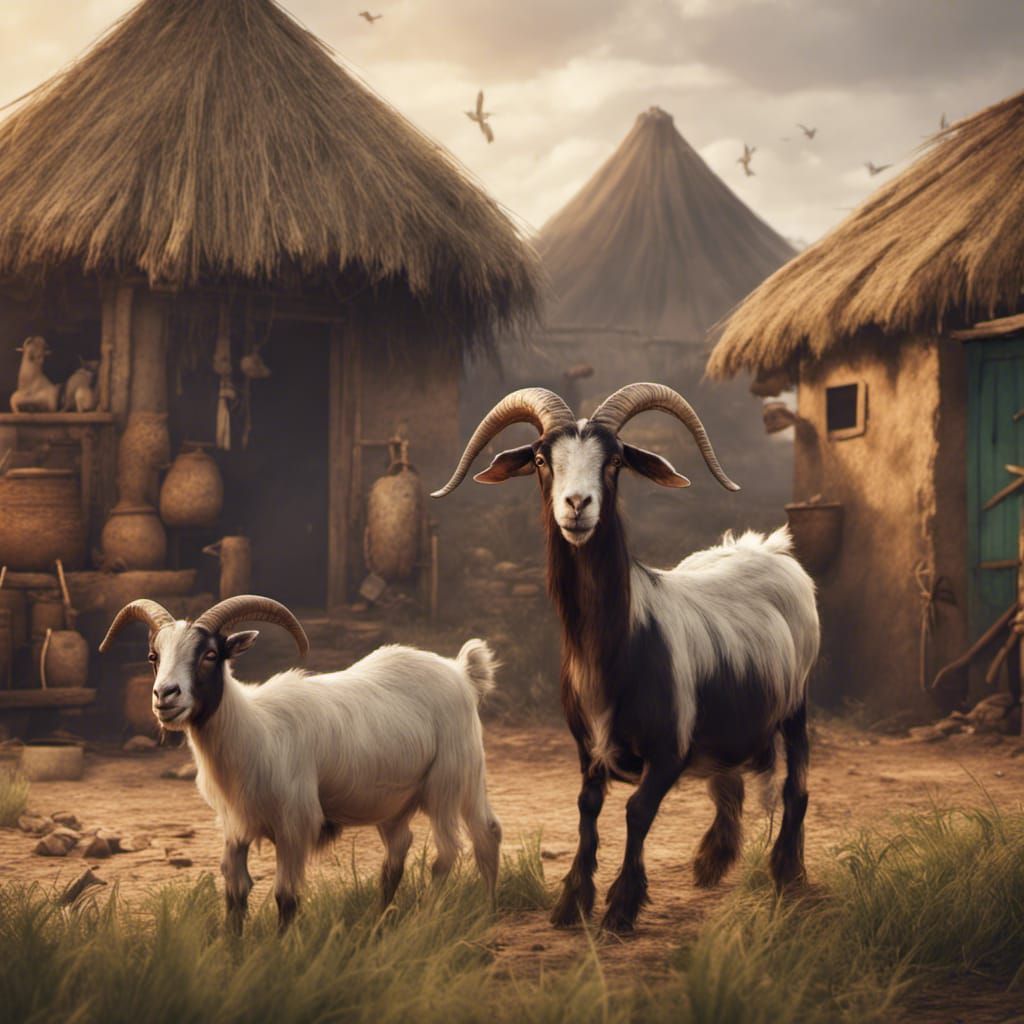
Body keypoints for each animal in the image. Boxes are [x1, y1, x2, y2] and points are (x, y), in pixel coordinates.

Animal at [100, 595, 502, 933]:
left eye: (211, 654)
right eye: (153, 656)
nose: (165, 696)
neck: (255, 732)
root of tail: (461, 672)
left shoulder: (295, 824)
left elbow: (286, 896)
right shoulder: (234, 826)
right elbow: (235, 893)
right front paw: (233, 954)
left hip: (451, 778)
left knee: (452, 849)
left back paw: (438, 918)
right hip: (396, 800)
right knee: (417, 847)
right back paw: (397, 920)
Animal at [433, 383, 819, 933]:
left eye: (614, 460)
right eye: (540, 458)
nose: (577, 505)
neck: (618, 647)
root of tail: (769, 548)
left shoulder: (669, 749)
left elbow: (636, 812)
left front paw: (620, 906)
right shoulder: (588, 747)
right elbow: (587, 809)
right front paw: (572, 902)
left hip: (797, 699)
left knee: (796, 785)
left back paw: (787, 872)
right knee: (729, 783)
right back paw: (713, 860)